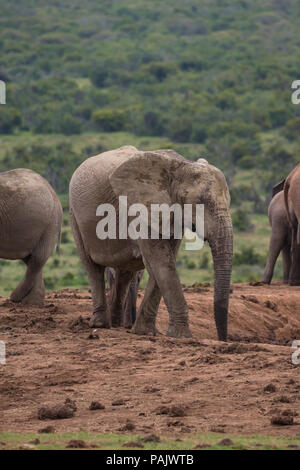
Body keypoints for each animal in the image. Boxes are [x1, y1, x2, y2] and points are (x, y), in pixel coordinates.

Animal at [69, 145, 233, 340]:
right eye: (199, 202)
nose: (222, 339)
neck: (180, 165)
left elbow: (162, 263)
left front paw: (144, 332)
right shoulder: (141, 209)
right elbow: (160, 261)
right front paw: (181, 336)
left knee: (125, 273)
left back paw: (116, 324)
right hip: (75, 215)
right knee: (92, 267)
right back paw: (100, 324)